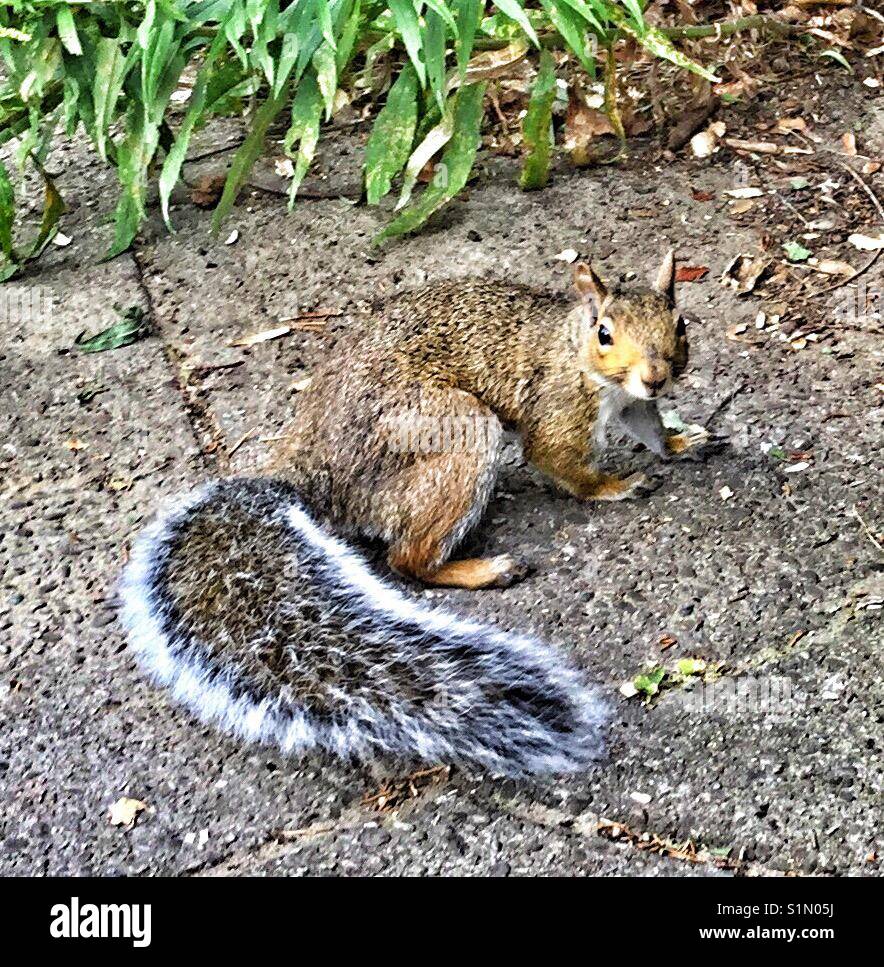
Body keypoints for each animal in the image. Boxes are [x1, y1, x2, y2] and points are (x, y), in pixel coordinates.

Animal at [120, 251, 706, 776]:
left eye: (679, 323)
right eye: (605, 333)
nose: (657, 376)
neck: (576, 352)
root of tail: (312, 474)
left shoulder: (634, 405)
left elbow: (650, 429)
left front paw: (682, 442)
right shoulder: (557, 407)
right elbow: (562, 464)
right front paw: (616, 485)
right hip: (458, 433)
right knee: (408, 560)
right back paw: (484, 569)